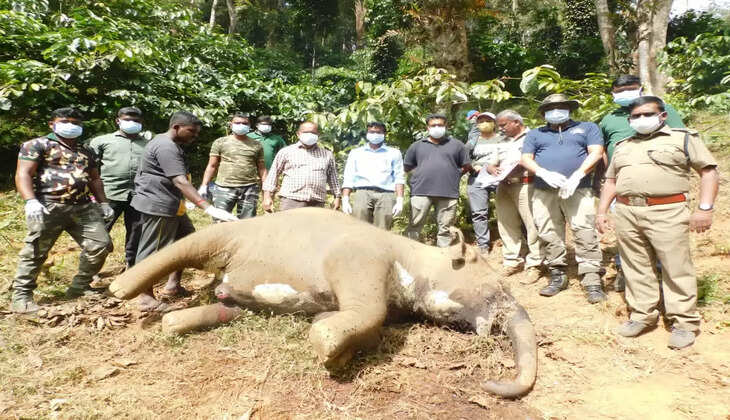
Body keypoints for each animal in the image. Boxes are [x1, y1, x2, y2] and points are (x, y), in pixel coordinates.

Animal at [109, 207, 537, 398]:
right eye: (498, 289)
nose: (489, 382)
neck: (412, 251)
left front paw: (330, 337)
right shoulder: (360, 257)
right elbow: (370, 312)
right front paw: (327, 348)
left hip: (238, 291)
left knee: (227, 305)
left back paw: (172, 325)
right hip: (227, 236)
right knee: (184, 248)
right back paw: (119, 290)